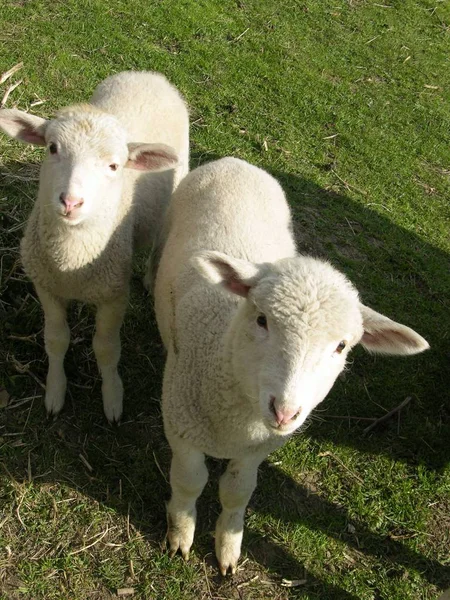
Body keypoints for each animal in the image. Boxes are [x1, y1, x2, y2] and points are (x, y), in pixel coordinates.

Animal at [0, 70, 190, 422]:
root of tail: (147, 75)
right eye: (52, 148)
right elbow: (55, 340)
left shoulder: (114, 295)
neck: (70, 262)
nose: (71, 202)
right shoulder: (46, 285)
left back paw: (150, 275)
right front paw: (55, 391)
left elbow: (105, 348)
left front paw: (112, 397)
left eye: (114, 166)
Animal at [154, 157, 428, 576]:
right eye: (261, 319)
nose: (284, 412)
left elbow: (237, 491)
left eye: (341, 346)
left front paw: (228, 546)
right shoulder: (180, 425)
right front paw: (180, 532)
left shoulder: (257, 449)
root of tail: (234, 161)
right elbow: (189, 481)